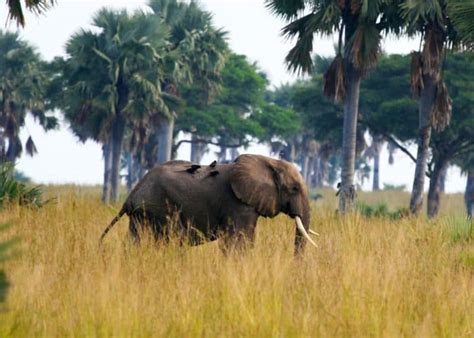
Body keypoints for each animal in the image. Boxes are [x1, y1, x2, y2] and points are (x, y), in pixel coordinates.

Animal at [100, 153, 318, 254]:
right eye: (294, 189)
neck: (268, 161)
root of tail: (130, 196)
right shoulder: (238, 204)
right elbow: (240, 240)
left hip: (142, 214)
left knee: (135, 241)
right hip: (157, 208)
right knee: (170, 239)